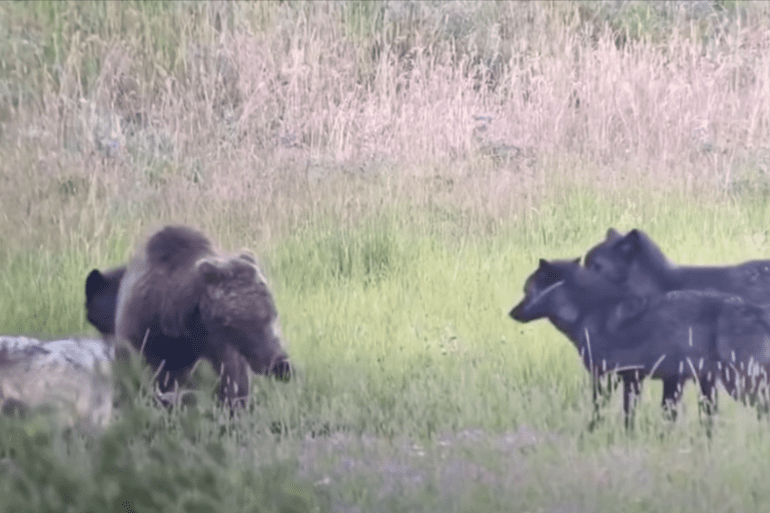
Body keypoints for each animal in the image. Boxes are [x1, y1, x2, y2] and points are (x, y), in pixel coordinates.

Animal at [108, 225, 290, 408]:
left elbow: (231, 386)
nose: (281, 365)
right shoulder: (145, 339)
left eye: (272, 314)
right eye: (243, 321)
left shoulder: (219, 354)